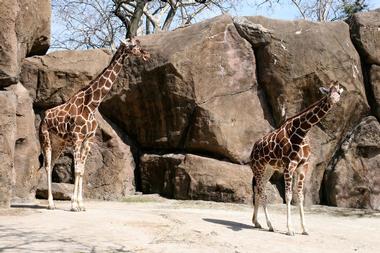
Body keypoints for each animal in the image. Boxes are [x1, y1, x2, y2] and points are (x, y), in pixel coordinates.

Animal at [39, 38, 150, 211]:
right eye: (134, 46)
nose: (147, 55)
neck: (91, 105)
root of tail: (44, 116)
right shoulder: (77, 138)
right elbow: (77, 169)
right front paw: (74, 205)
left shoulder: (88, 140)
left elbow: (81, 171)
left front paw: (81, 205)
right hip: (45, 139)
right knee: (47, 165)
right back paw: (50, 204)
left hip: (59, 142)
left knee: (51, 166)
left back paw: (53, 203)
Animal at [249, 82, 344, 235]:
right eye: (329, 92)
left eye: (339, 93)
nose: (334, 100)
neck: (302, 131)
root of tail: (253, 149)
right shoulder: (289, 166)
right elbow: (288, 196)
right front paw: (290, 229)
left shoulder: (303, 167)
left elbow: (300, 196)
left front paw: (305, 229)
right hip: (258, 168)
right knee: (262, 192)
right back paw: (270, 225)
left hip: (268, 169)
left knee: (258, 190)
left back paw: (257, 222)